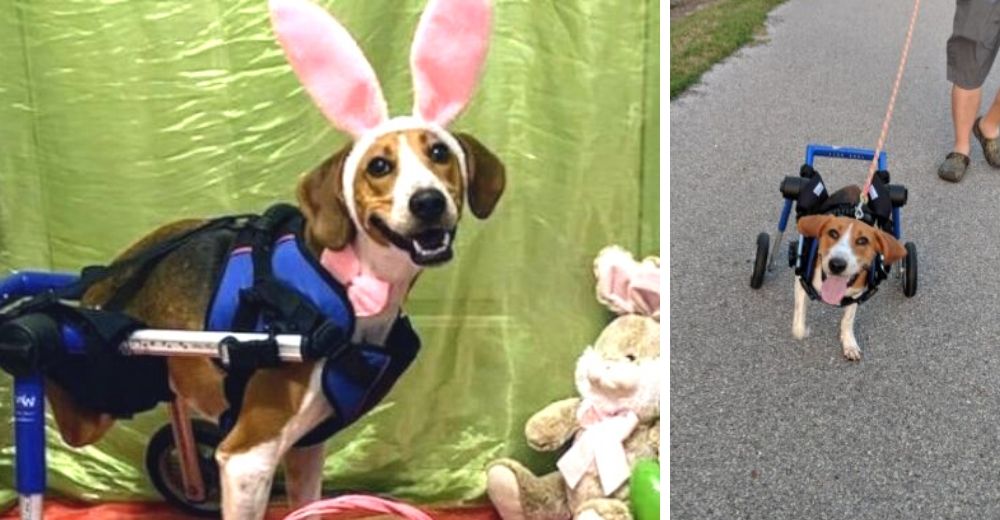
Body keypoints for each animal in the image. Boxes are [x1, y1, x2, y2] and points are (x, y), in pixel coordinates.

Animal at [43, 0, 504, 516]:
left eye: (440, 153)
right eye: (379, 166)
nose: (427, 202)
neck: (348, 283)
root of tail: (116, 266)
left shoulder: (306, 445)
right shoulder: (248, 456)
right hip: (91, 406)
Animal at [796, 193, 908, 360]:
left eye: (862, 241)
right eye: (833, 233)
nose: (837, 264)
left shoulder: (856, 295)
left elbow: (848, 320)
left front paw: (849, 343)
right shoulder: (801, 282)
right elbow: (799, 322)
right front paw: (803, 330)